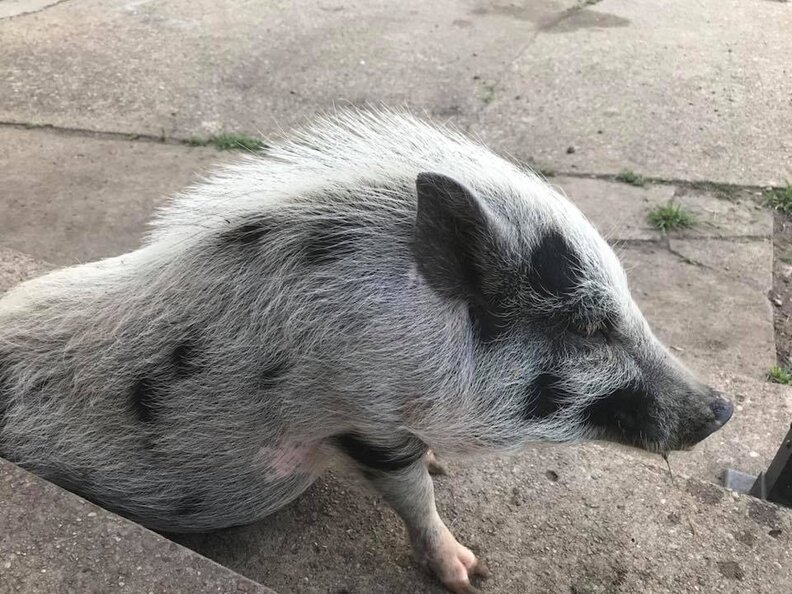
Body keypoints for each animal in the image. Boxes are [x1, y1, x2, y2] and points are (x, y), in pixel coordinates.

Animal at [0, 109, 732, 593]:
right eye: (586, 328)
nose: (722, 408)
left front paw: (444, 475)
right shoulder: (362, 417)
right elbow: (413, 496)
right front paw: (470, 574)